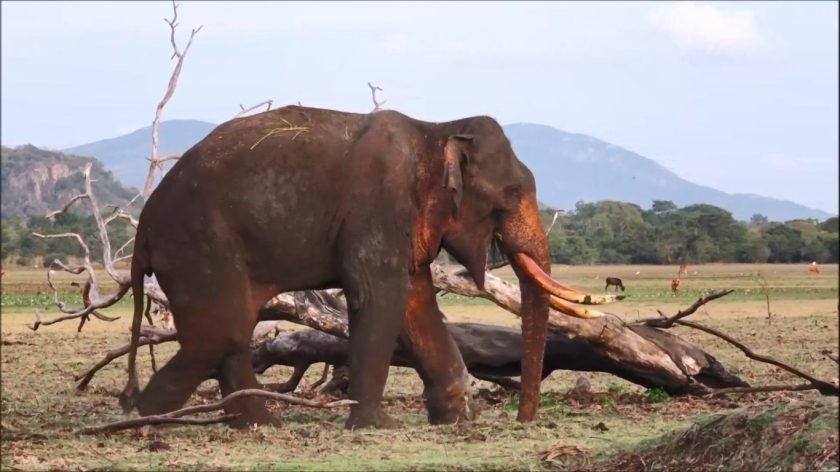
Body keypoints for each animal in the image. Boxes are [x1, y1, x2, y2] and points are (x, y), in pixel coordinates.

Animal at [121, 105, 600, 430]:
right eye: (514, 192)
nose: (523, 419)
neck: (436, 129)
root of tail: (144, 227)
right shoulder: (378, 206)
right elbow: (379, 294)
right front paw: (376, 425)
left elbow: (415, 301)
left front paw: (459, 418)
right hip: (199, 246)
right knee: (222, 333)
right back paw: (144, 421)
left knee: (230, 335)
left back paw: (258, 424)